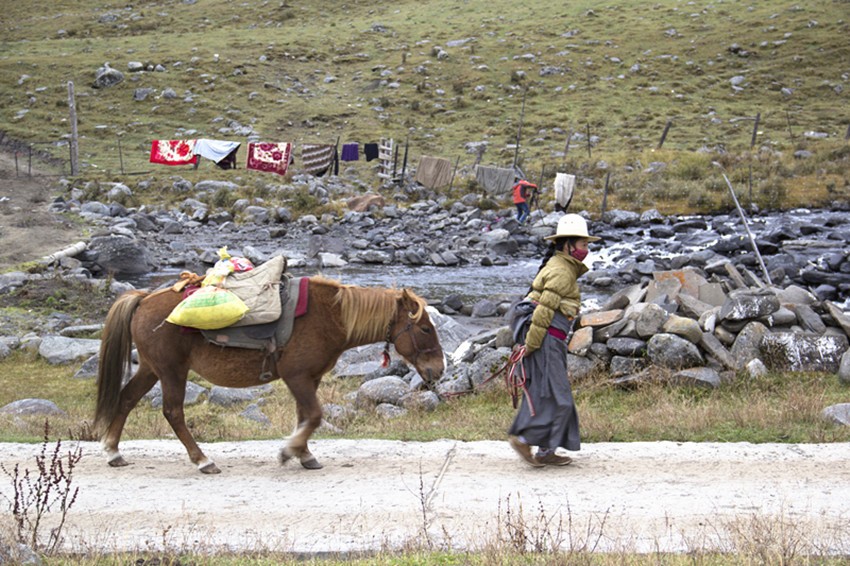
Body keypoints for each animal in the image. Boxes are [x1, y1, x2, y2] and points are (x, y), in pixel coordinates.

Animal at [94, 275, 445, 474]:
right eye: (426, 328)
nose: (439, 370)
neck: (332, 317)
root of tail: (143, 299)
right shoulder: (297, 376)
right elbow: (314, 416)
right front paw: (290, 451)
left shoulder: (309, 379)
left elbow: (305, 416)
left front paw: (304, 455)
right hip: (171, 371)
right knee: (173, 412)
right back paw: (203, 460)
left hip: (152, 369)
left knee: (126, 399)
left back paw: (113, 452)